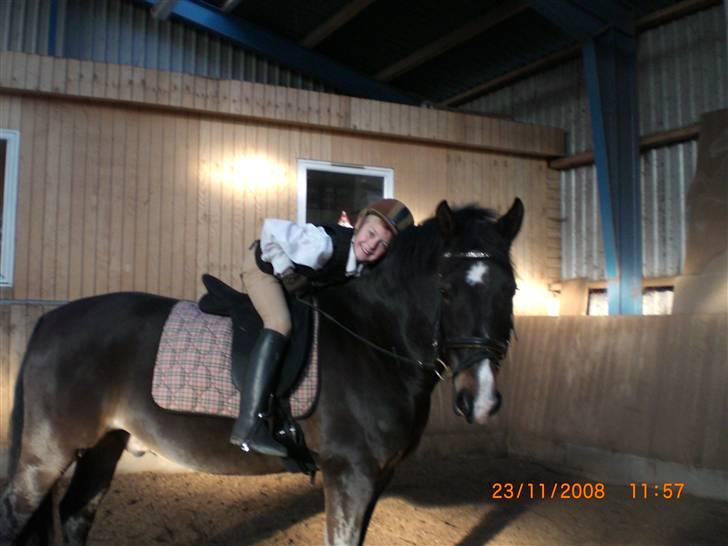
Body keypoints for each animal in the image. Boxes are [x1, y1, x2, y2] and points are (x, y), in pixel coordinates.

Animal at [0, 198, 524, 540]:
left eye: (511, 291)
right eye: (446, 291)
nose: (480, 400)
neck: (373, 338)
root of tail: (53, 318)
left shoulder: (379, 476)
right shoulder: (350, 473)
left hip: (105, 442)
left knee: (76, 512)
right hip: (47, 452)